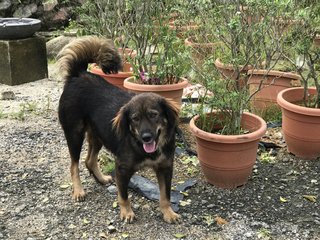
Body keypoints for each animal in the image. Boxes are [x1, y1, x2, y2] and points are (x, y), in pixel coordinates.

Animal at [57, 35, 180, 223]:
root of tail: (78, 74)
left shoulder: (165, 167)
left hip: (98, 136)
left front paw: (168, 213)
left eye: (154, 115)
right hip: (74, 134)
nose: (146, 137)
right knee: (74, 165)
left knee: (89, 160)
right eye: (135, 119)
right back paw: (78, 191)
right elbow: (123, 195)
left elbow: (165, 195)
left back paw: (101, 179)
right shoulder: (122, 168)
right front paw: (127, 212)